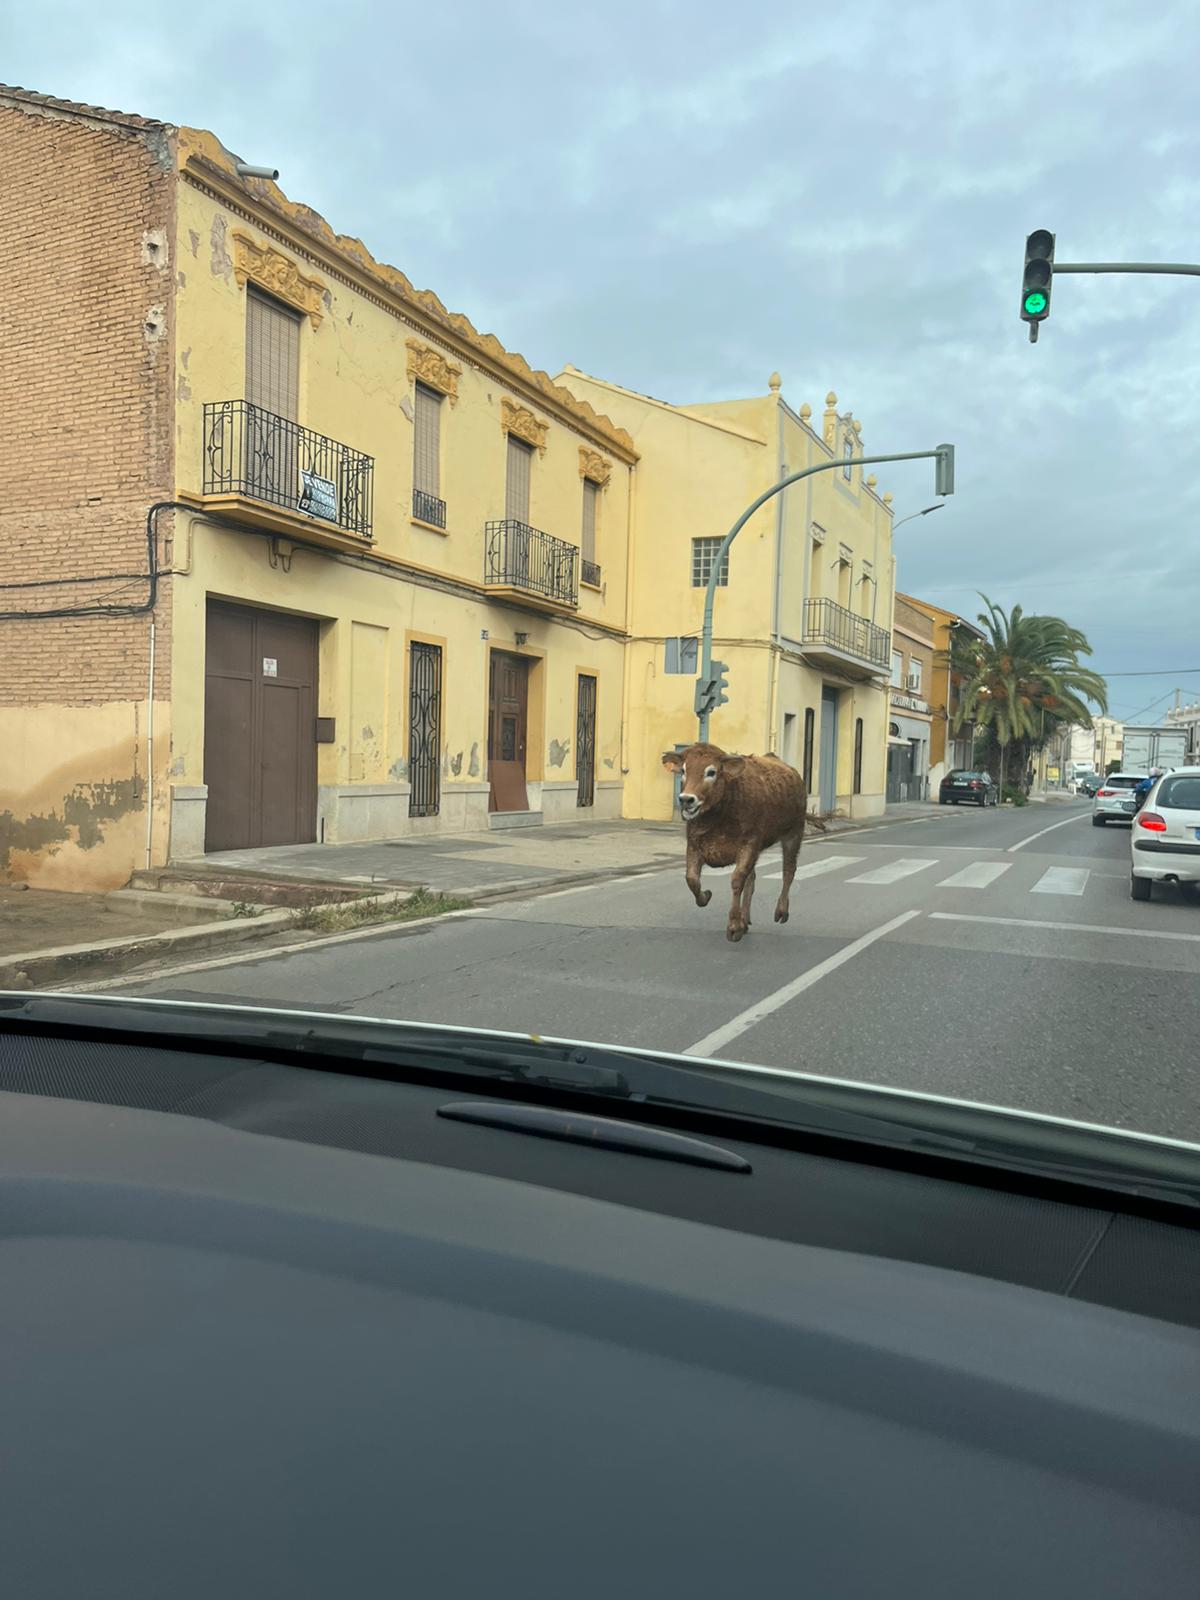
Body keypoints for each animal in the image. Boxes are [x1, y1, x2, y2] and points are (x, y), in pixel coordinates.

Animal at [659, 742, 819, 940]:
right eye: (683, 770)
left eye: (711, 772)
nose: (686, 799)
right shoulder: (694, 846)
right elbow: (692, 879)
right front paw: (706, 896)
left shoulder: (749, 844)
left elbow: (737, 880)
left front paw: (734, 926)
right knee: (753, 878)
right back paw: (745, 918)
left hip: (793, 834)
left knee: (788, 871)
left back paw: (781, 911)